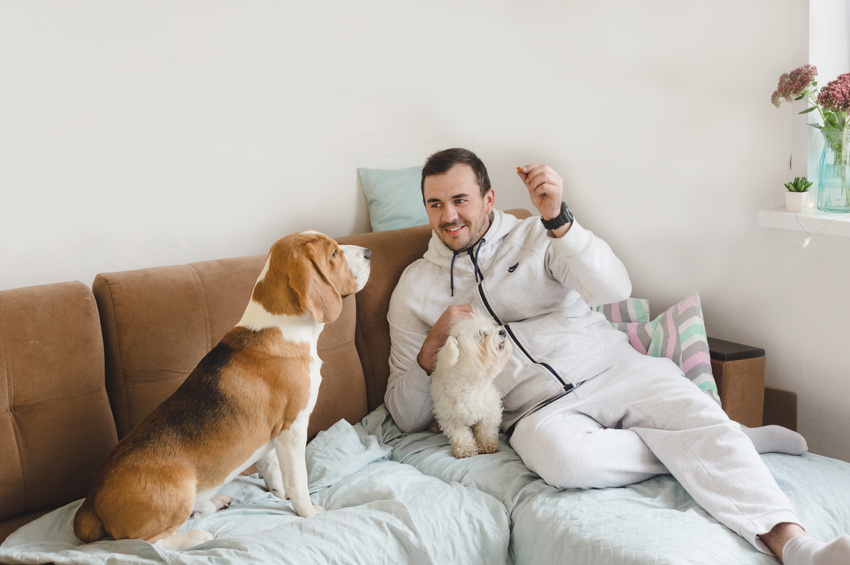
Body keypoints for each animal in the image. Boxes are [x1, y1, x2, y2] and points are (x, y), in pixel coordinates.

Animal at [75, 231, 372, 548]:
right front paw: (308, 511)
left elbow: (272, 468)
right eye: (333, 254)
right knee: (149, 543)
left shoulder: (271, 433)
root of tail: (90, 503)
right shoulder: (292, 429)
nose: (369, 252)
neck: (282, 328)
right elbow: (299, 480)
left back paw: (212, 503)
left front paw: (279, 492)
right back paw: (196, 536)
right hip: (179, 491)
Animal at [430, 312, 510, 458]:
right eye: (480, 334)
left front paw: (488, 445)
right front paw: (465, 449)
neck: (470, 385)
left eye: (491, 328)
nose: (503, 331)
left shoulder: (490, 410)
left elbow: (486, 430)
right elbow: (460, 435)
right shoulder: (450, 418)